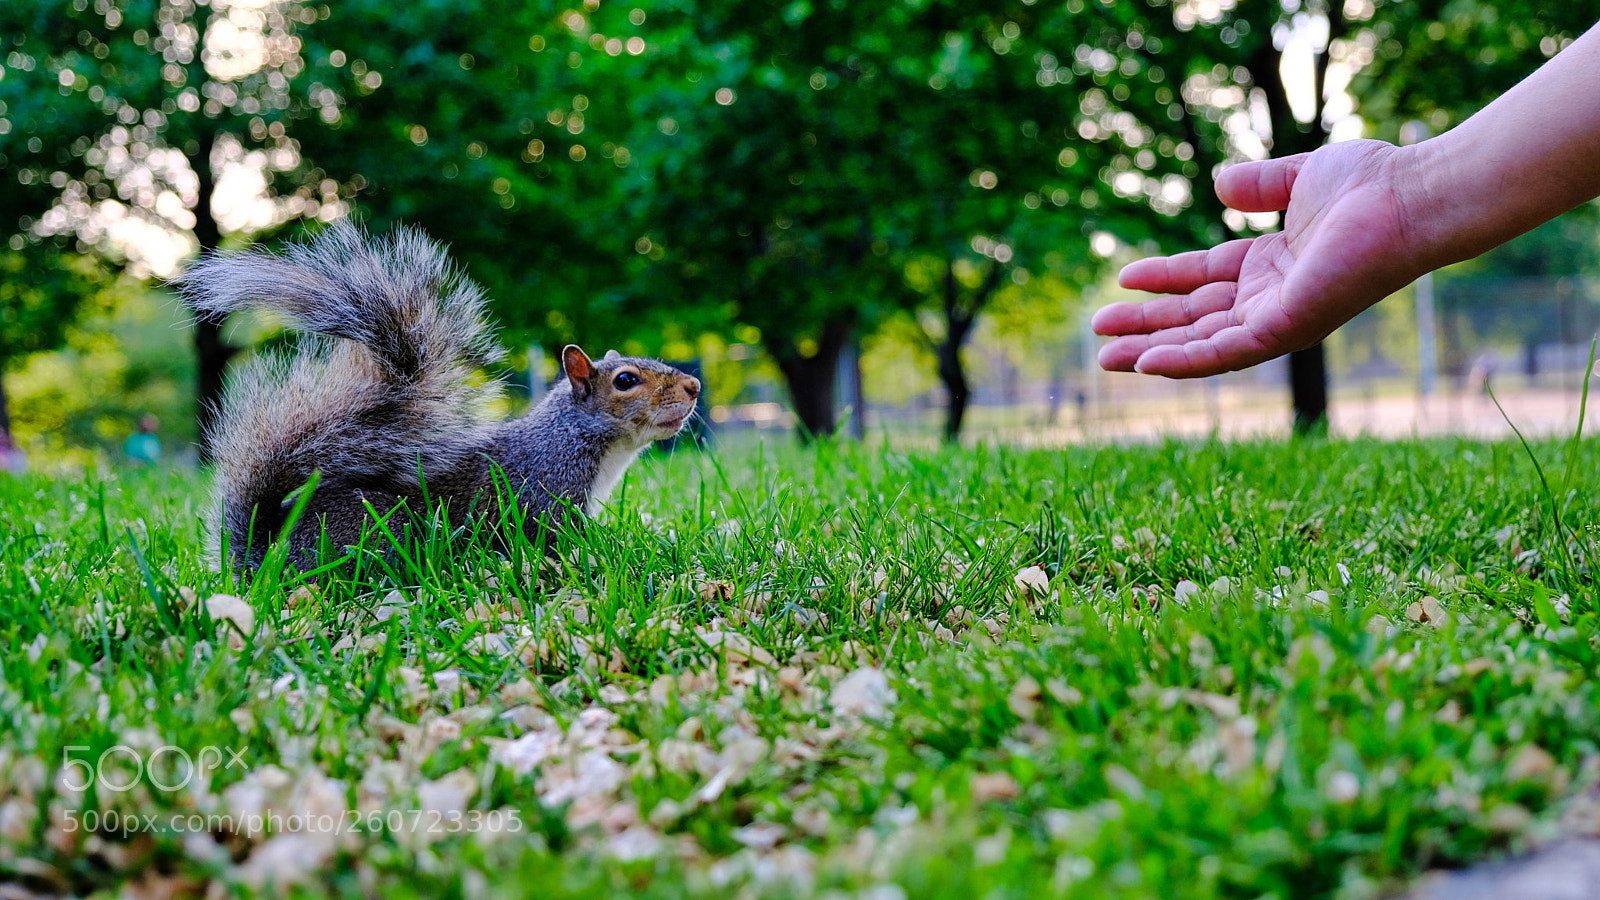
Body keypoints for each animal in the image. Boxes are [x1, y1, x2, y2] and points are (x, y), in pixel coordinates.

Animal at [180, 221, 701, 570]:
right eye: (626, 381)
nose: (695, 387)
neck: (575, 439)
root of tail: (267, 556)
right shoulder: (545, 496)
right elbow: (554, 543)